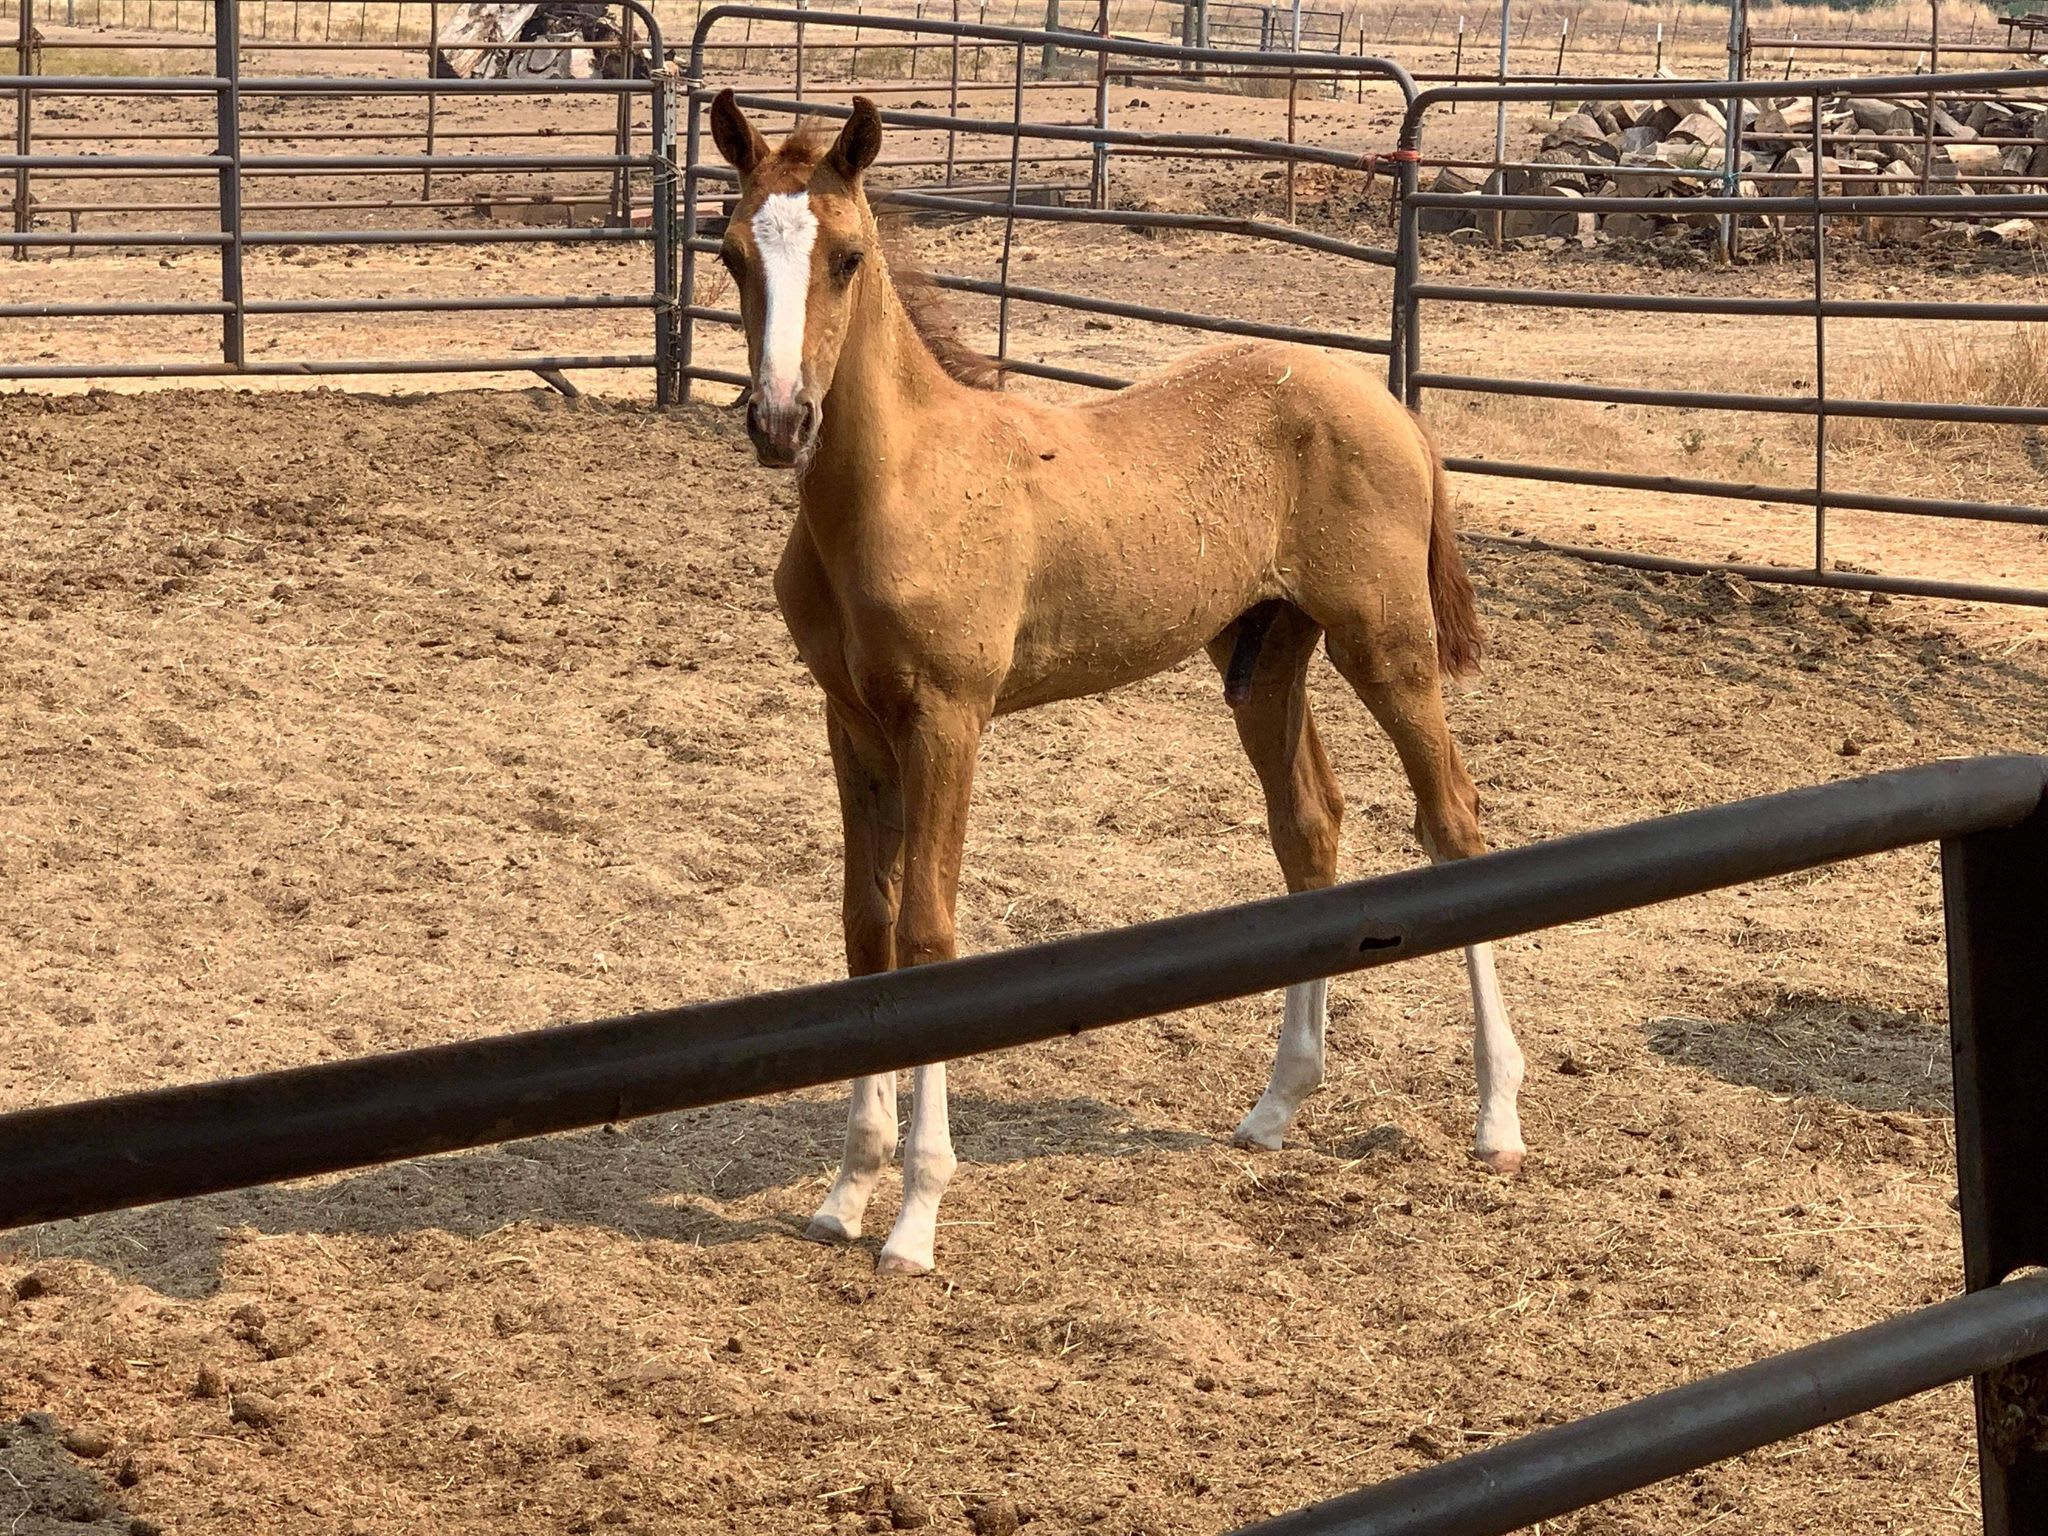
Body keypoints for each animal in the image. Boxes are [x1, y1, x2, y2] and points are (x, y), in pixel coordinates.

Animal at [706, 91, 1526, 1276]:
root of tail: (1384, 401)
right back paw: (1275, 1106)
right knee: (1309, 830)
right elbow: (866, 931)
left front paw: (914, 1215)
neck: (899, 484)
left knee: (1453, 825)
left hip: (1386, 642)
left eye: (848, 258)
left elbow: (927, 934)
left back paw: (1497, 1117)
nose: (780, 423)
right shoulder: (852, 719)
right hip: (1263, 654)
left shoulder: (947, 718)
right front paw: (845, 1189)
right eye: (731, 254)